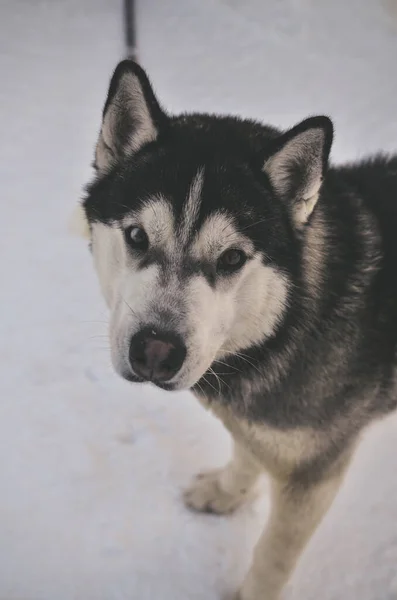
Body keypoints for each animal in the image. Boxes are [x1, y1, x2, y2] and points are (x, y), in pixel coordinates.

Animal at [78, 62, 396, 600]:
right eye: (137, 236)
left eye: (231, 259)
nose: (156, 351)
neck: (288, 324)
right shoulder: (252, 422)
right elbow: (245, 452)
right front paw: (227, 493)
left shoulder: (316, 471)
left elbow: (274, 553)